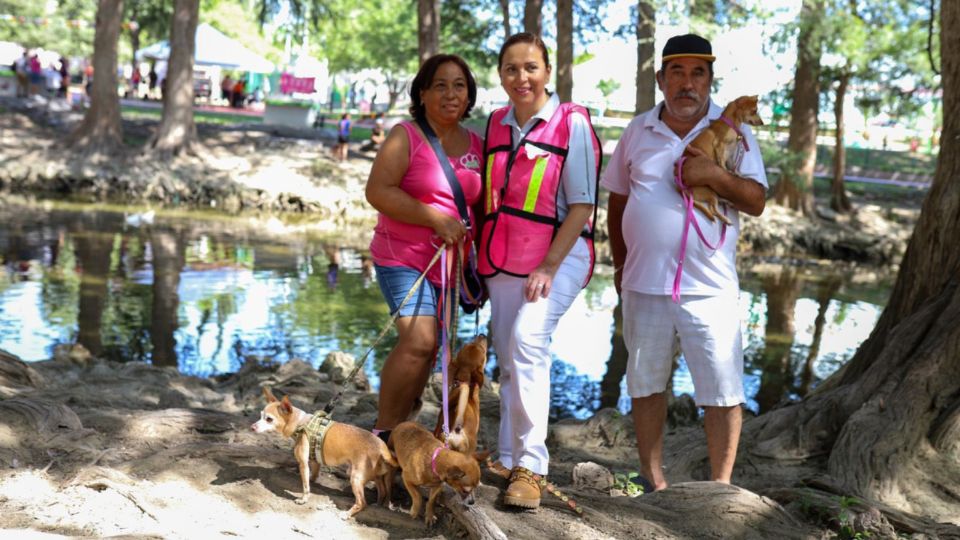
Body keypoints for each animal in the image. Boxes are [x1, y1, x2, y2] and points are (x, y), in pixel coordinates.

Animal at [251, 388, 398, 520]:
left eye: (269, 419)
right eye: (260, 415)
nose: (252, 427)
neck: (301, 422)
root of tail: (382, 447)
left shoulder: (303, 463)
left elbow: (305, 485)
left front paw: (304, 499)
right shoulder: (315, 461)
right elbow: (312, 476)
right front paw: (312, 481)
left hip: (355, 477)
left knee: (362, 502)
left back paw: (347, 514)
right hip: (378, 476)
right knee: (383, 491)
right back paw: (378, 505)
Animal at [684, 94, 764, 225]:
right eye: (754, 111)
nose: (762, 123)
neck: (731, 124)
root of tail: (681, 187)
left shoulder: (729, 154)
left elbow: (732, 166)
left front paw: (737, 174)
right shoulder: (719, 146)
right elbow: (722, 164)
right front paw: (726, 171)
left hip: (712, 193)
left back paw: (725, 201)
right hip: (709, 192)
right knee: (712, 211)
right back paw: (725, 219)